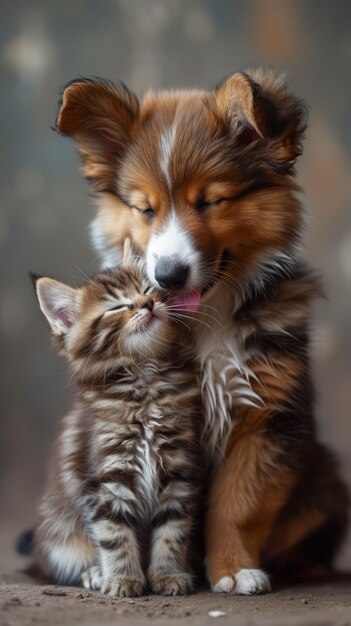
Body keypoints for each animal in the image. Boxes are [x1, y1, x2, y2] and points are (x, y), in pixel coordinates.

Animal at [33, 239, 204, 596]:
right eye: (116, 307)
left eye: (148, 289)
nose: (148, 304)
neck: (146, 380)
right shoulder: (106, 479)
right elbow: (114, 535)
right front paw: (122, 579)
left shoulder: (179, 470)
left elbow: (173, 531)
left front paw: (167, 574)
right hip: (59, 536)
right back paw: (95, 573)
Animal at [55, 69, 350, 596]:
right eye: (145, 209)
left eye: (211, 201)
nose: (168, 276)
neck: (204, 319)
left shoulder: (265, 414)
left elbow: (237, 503)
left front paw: (232, 569)